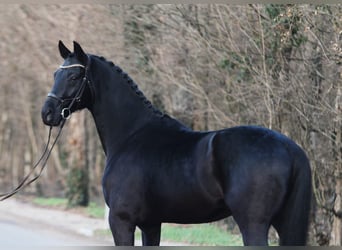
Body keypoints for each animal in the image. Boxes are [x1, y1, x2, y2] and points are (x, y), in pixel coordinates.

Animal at [41, 41, 312, 246]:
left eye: (74, 76)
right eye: (55, 74)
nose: (47, 113)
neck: (131, 135)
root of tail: (290, 149)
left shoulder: (121, 221)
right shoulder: (151, 224)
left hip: (253, 224)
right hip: (283, 222)